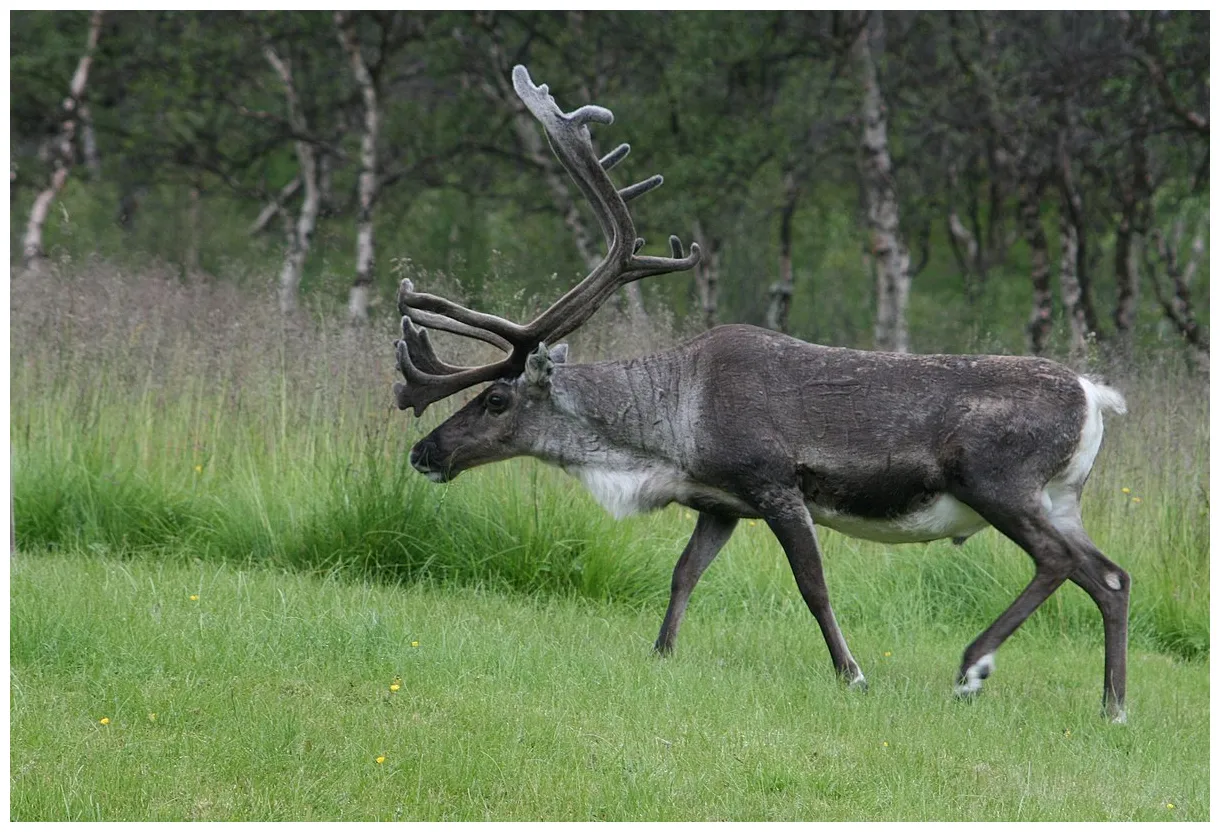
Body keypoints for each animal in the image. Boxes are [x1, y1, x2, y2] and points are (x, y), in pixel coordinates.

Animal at [392, 65, 1131, 723]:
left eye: (496, 401)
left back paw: (974, 668)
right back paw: (1113, 708)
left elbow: (813, 585)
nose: (425, 452)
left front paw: (852, 674)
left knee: (1060, 561)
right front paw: (661, 654)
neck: (665, 438)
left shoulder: (774, 483)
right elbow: (683, 573)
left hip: (997, 481)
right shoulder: (721, 504)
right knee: (1110, 577)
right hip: (1060, 497)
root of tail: (1095, 396)